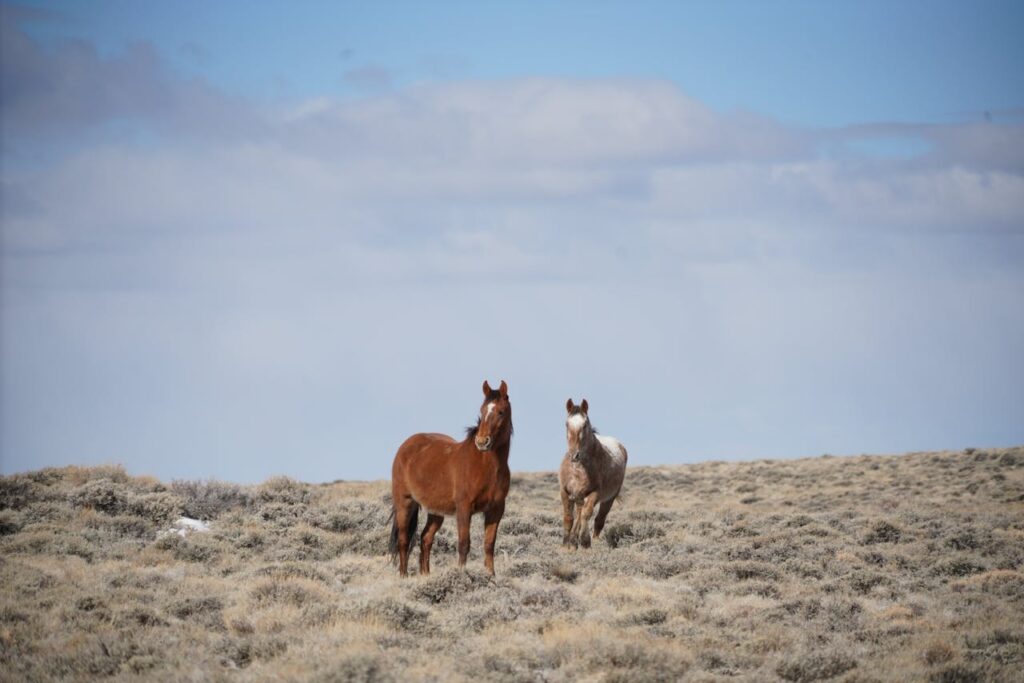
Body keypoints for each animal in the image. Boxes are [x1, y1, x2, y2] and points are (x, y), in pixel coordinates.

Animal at [389, 380, 513, 577]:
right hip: (405, 503)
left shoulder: (496, 510)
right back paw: (403, 576)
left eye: (501, 411)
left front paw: (491, 576)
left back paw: (426, 576)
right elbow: (464, 544)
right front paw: (462, 575)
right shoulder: (464, 508)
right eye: (482, 410)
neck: (486, 467)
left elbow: (489, 545)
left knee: (426, 539)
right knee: (403, 540)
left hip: (436, 511)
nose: (482, 442)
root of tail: (406, 446)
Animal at [559, 398, 627, 549]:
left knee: (599, 520)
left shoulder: (595, 493)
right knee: (579, 514)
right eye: (567, 424)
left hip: (608, 499)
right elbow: (568, 518)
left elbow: (586, 515)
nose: (574, 455)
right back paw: (574, 541)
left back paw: (592, 541)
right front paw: (566, 545)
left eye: (584, 424)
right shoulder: (565, 492)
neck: (578, 469)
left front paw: (585, 542)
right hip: (579, 497)